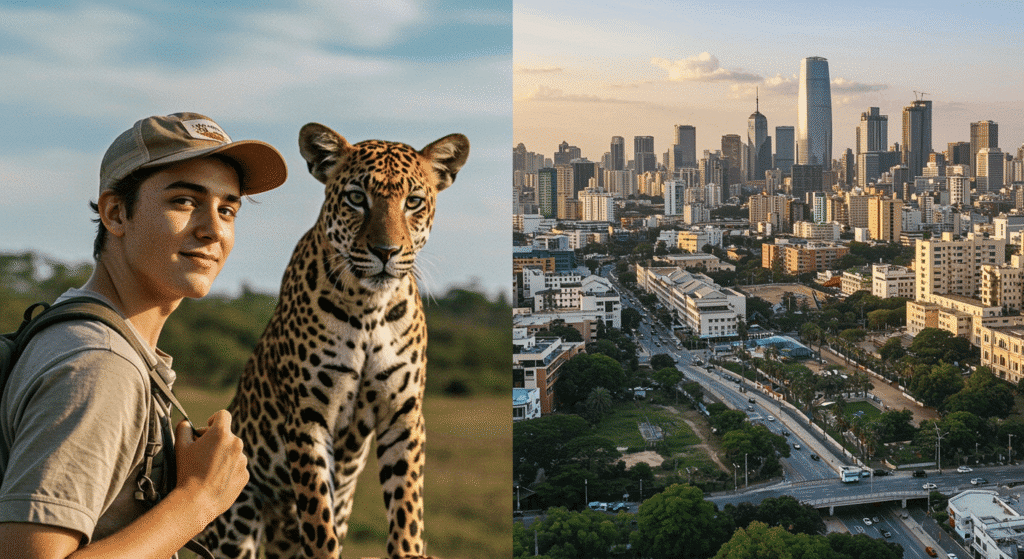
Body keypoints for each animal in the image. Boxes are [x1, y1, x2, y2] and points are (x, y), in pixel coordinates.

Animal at [198, 122, 469, 559]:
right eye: (357, 198)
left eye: (413, 202)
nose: (385, 251)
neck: (369, 308)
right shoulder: (308, 418)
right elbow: (318, 522)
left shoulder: (403, 415)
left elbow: (407, 510)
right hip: (235, 522)